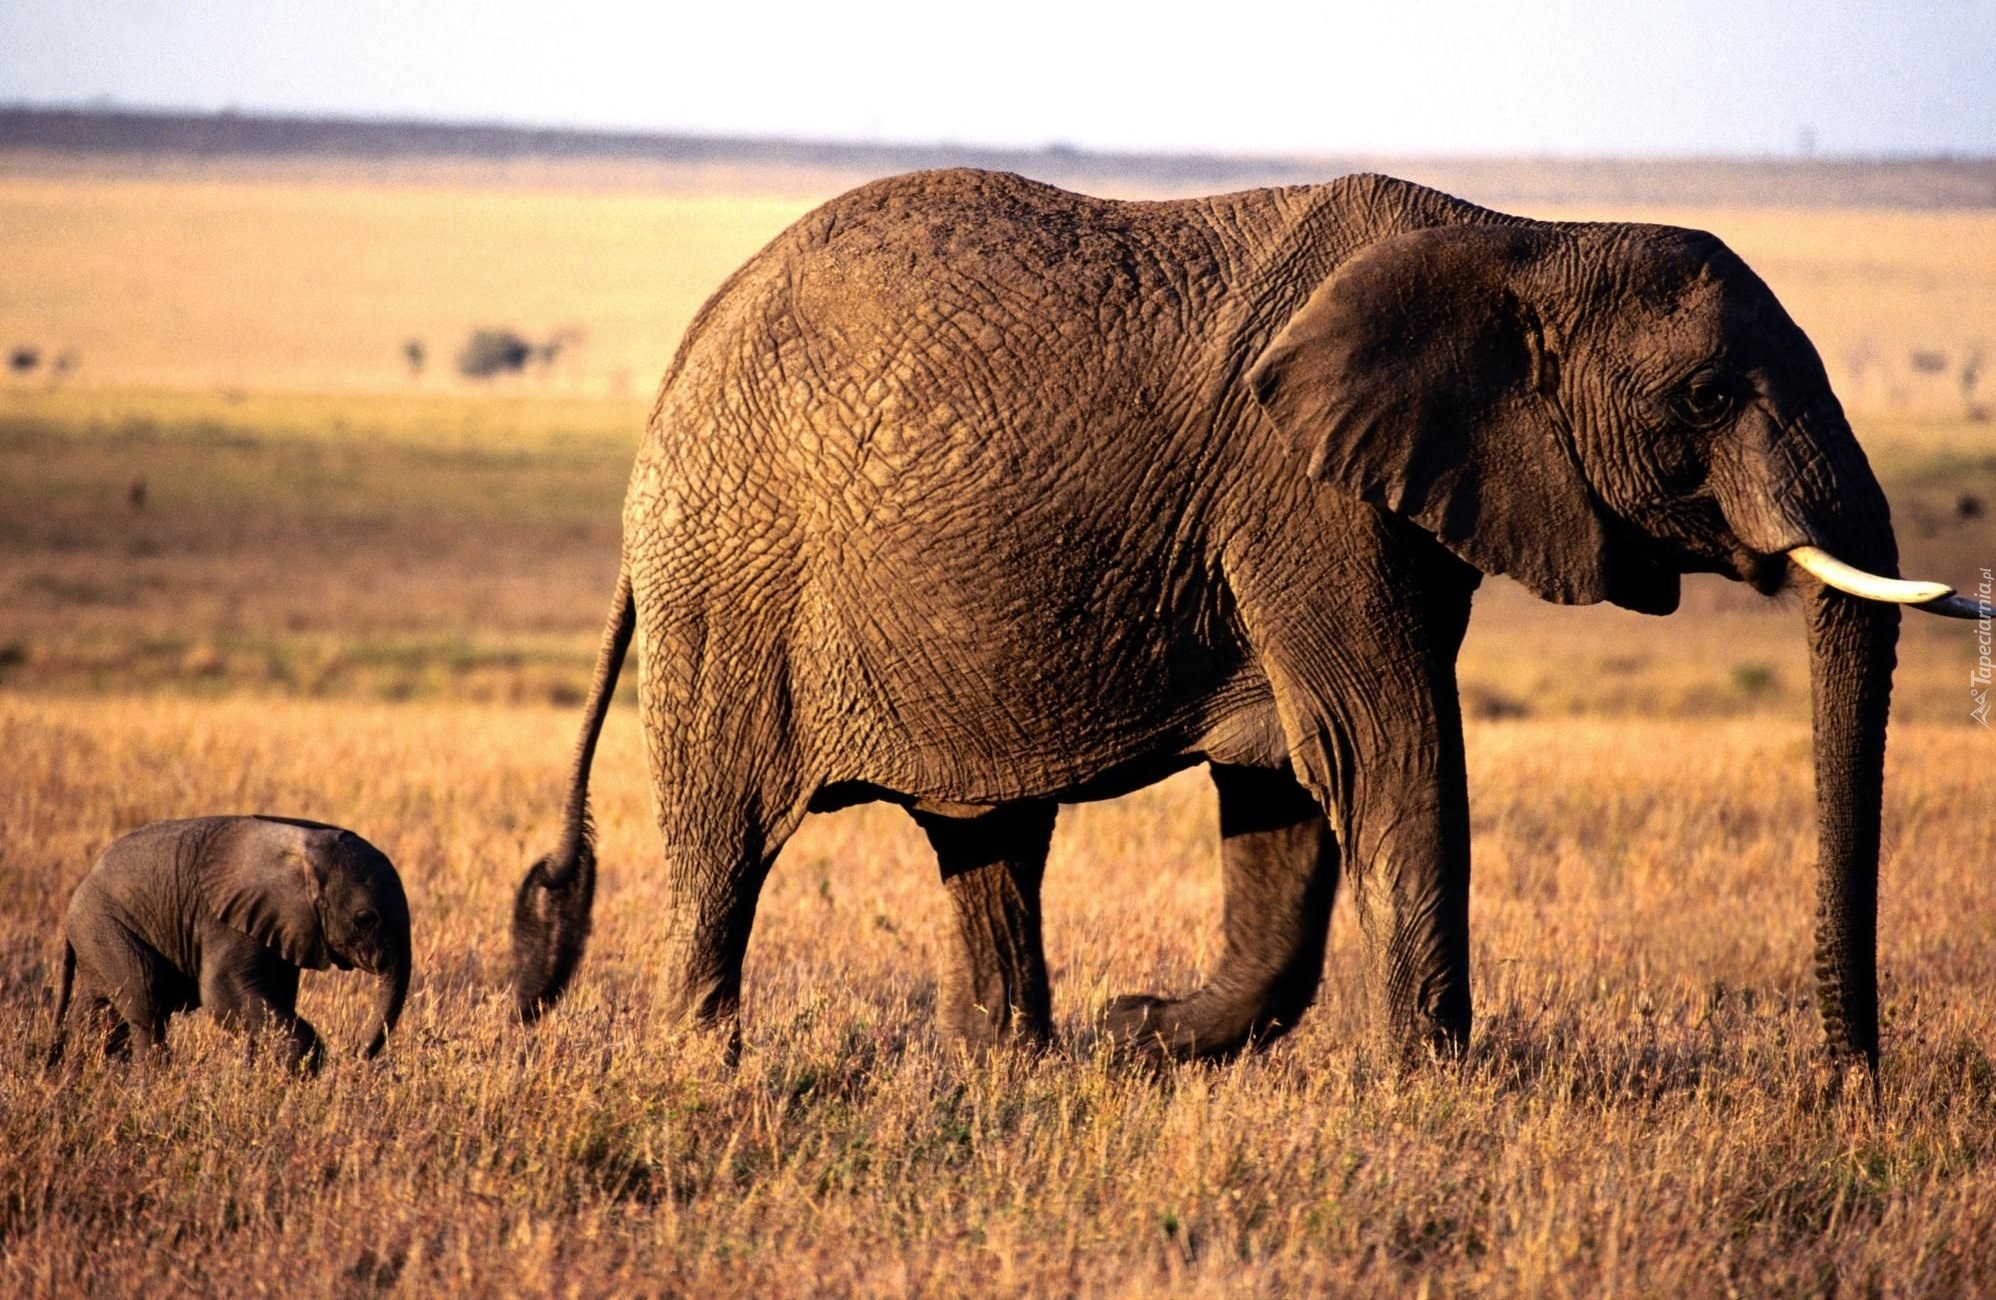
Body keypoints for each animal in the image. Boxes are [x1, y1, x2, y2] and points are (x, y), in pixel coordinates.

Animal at [53, 818, 409, 1070]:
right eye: (365, 919)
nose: (355, 1056)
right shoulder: (226, 920)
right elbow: (222, 995)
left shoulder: (281, 926)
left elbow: (271, 997)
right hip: (106, 925)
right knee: (146, 999)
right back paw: (148, 1083)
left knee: (99, 1013)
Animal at [510, 167, 1964, 1062]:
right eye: (1709, 397)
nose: (1851, 1084)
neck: (1518, 236)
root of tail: (680, 364)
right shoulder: (1297, 494)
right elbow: (1381, 747)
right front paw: (1433, 1092)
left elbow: (1287, 791)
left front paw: (1136, 1036)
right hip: (731, 580)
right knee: (726, 842)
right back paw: (708, 1070)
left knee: (988, 841)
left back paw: (1013, 1065)